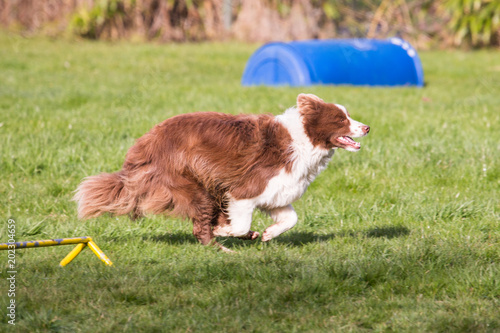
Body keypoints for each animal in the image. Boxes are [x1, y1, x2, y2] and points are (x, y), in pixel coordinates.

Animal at [75, 92, 372, 249]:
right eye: (341, 119)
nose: (367, 127)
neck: (303, 140)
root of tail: (145, 143)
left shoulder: (276, 191)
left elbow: (291, 218)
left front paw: (268, 234)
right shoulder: (245, 190)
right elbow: (240, 223)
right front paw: (227, 231)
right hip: (192, 183)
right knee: (201, 225)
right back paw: (221, 247)